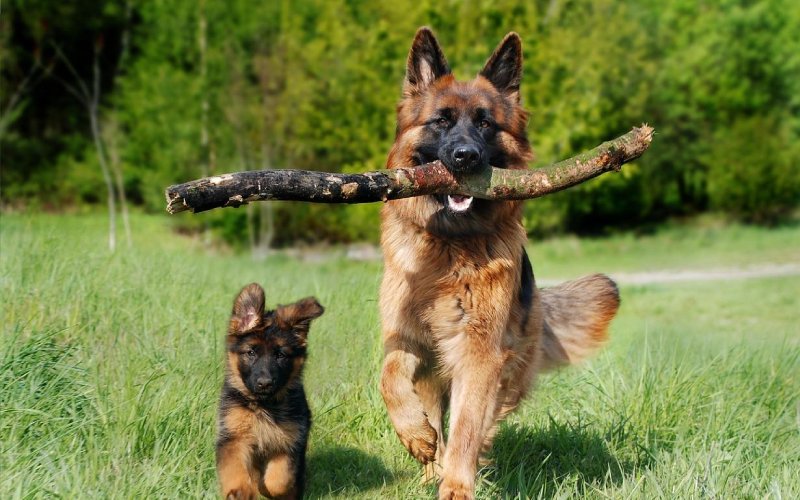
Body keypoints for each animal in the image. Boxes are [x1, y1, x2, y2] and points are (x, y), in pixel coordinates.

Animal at [217, 284, 324, 498]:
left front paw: (265, 488)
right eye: (251, 352)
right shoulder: (233, 437)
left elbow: (278, 480)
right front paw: (241, 491)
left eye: (280, 355)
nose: (265, 383)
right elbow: (235, 469)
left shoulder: (290, 442)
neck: (263, 405)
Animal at [378, 28, 620, 500]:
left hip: (508, 368)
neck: (449, 245)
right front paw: (415, 435)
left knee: (482, 421)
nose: (465, 157)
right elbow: (389, 375)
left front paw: (457, 486)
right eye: (441, 121)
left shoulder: (479, 352)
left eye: (485, 124)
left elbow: (467, 426)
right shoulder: (408, 337)